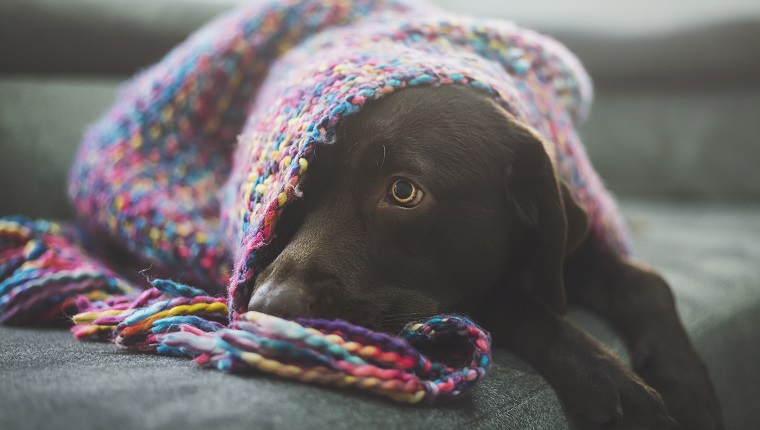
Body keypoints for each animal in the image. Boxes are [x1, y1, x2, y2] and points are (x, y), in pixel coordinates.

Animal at [248, 85, 720, 430]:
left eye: (403, 191)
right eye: (296, 194)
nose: (268, 306)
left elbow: (648, 282)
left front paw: (687, 385)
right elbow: (520, 302)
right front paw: (607, 374)